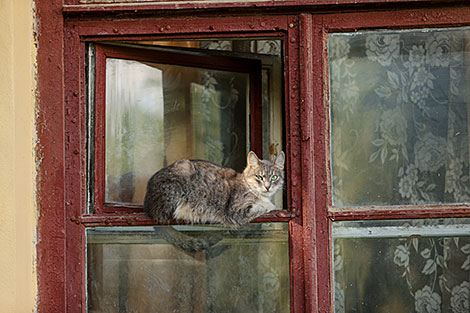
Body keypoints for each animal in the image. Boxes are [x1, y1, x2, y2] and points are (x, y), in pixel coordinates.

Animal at [143, 151, 284, 251]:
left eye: (274, 177)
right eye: (259, 177)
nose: (267, 187)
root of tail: (148, 205)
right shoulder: (235, 212)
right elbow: (262, 207)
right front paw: (270, 205)